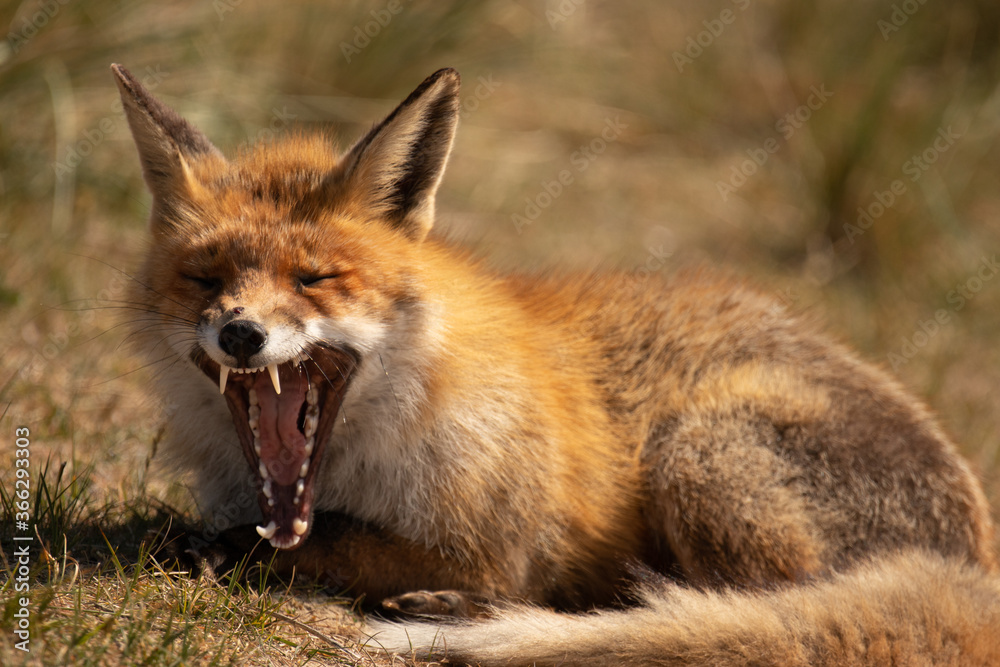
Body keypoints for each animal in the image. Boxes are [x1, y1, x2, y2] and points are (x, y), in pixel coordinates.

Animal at [113, 64, 1000, 667]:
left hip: (696, 453)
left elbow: (331, 541)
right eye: (206, 279)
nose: (241, 334)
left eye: (313, 279)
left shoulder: (501, 542)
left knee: (740, 605)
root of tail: (973, 570)